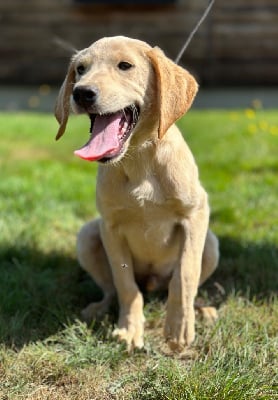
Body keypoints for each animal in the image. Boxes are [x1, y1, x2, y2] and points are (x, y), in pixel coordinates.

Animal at [54, 36, 219, 352]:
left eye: (125, 66)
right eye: (80, 69)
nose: (82, 93)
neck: (139, 158)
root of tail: (153, 282)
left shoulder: (196, 214)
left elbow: (185, 275)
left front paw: (179, 327)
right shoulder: (111, 227)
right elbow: (125, 284)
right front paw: (130, 329)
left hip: (211, 245)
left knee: (181, 284)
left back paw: (201, 309)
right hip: (88, 235)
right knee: (112, 289)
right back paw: (99, 308)